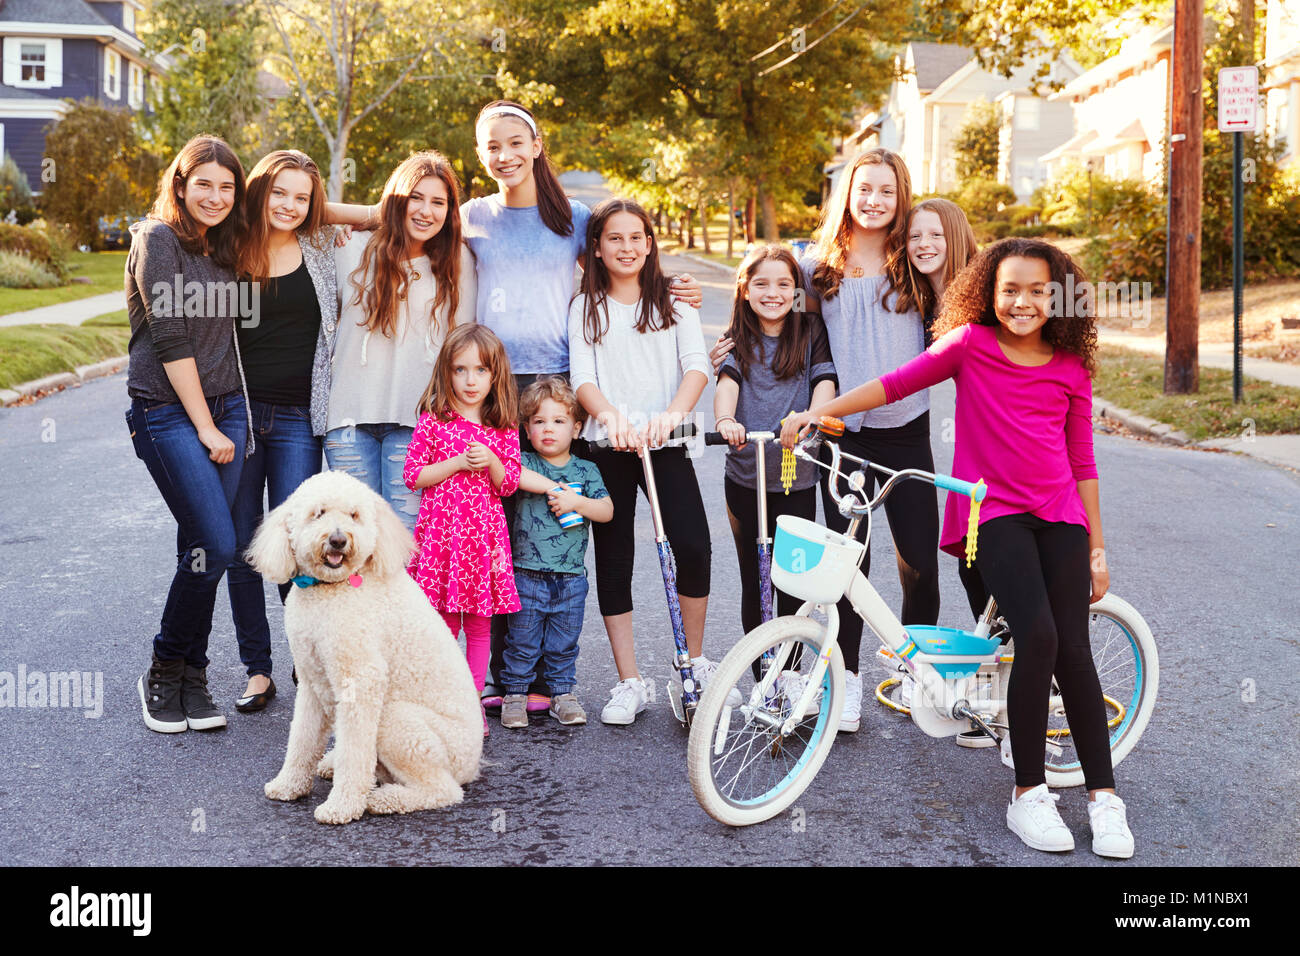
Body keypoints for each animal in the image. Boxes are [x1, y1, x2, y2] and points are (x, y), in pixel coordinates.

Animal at [244, 470, 483, 822]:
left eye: (354, 515)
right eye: (318, 513)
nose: (338, 539)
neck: (333, 589)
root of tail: (473, 765)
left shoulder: (361, 680)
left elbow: (354, 753)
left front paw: (341, 806)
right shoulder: (312, 680)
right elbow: (302, 739)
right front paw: (288, 785)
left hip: (400, 723)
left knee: (444, 790)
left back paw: (384, 799)